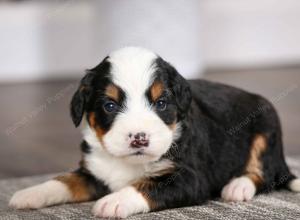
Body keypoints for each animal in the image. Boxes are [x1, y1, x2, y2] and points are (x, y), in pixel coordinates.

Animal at [9, 47, 300, 217]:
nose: (139, 138)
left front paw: (115, 201)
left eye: (161, 103)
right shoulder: (94, 171)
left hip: (267, 126)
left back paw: (238, 186)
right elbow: (64, 180)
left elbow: (147, 186)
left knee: (265, 173)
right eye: (110, 105)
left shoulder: (190, 178)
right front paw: (30, 193)